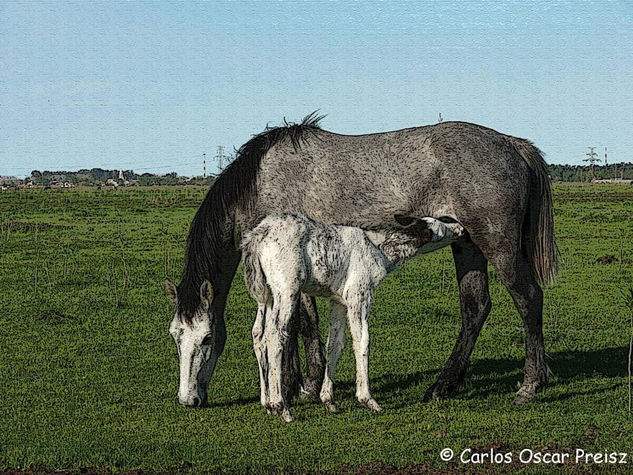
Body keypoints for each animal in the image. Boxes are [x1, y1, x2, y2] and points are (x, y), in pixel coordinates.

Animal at [239, 214, 462, 422]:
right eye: (443, 228)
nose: (460, 227)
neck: (380, 252)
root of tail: (257, 235)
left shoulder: (338, 300)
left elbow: (334, 344)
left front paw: (328, 400)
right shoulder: (358, 294)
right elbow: (362, 341)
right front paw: (367, 399)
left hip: (266, 294)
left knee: (259, 334)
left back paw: (267, 403)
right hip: (287, 288)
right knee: (276, 334)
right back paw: (281, 407)